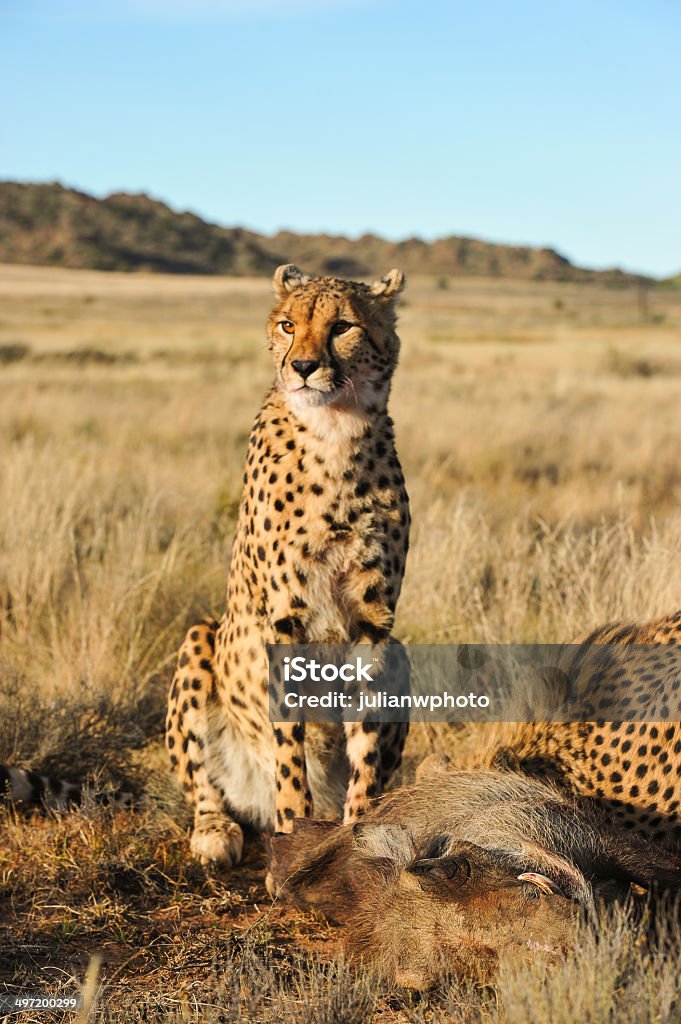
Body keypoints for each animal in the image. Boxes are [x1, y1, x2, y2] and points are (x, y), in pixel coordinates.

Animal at [164, 264, 409, 864]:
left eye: (342, 326)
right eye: (287, 325)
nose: (302, 366)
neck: (336, 432)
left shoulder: (375, 621)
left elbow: (365, 746)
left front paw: (359, 834)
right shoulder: (285, 619)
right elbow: (289, 743)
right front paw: (292, 829)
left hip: (405, 654)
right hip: (199, 638)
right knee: (204, 783)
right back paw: (216, 829)